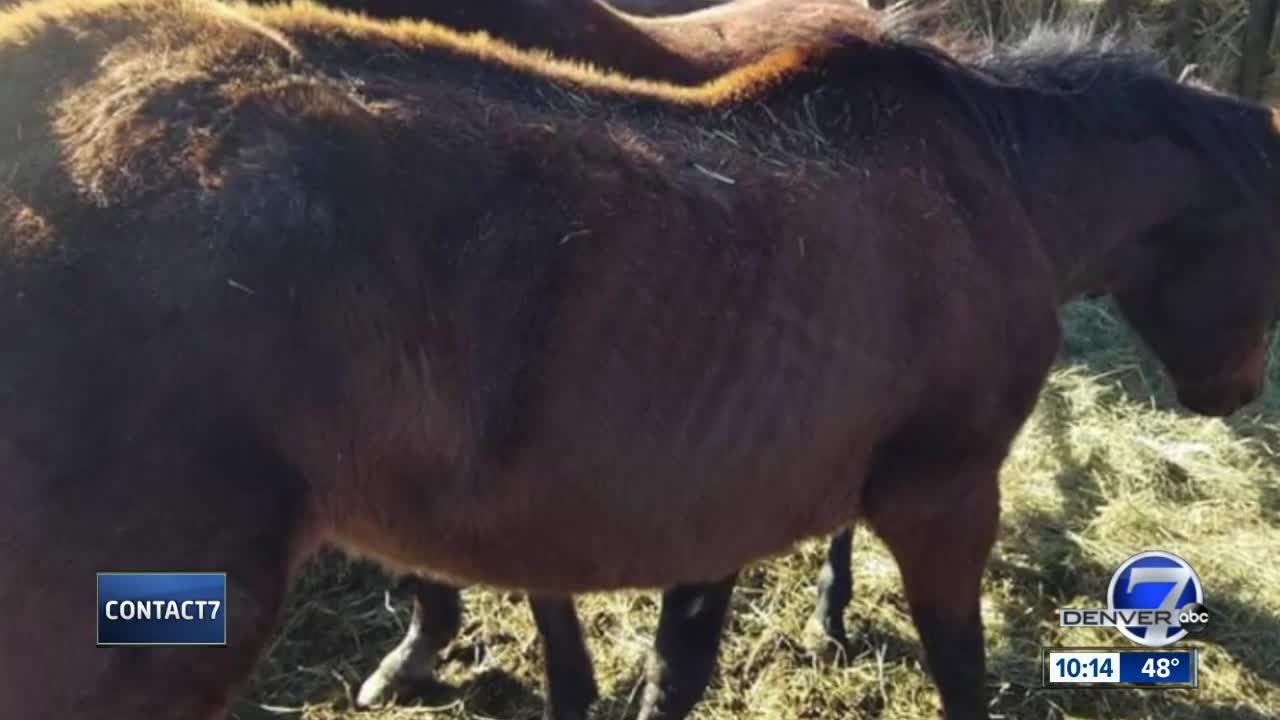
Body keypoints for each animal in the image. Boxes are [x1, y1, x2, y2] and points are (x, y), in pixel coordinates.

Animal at [2, 4, 1280, 717]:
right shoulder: (944, 497)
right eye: (1266, 237)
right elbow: (960, 676)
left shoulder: (714, 502)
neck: (988, 181)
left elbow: (673, 674)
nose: (1233, 393)